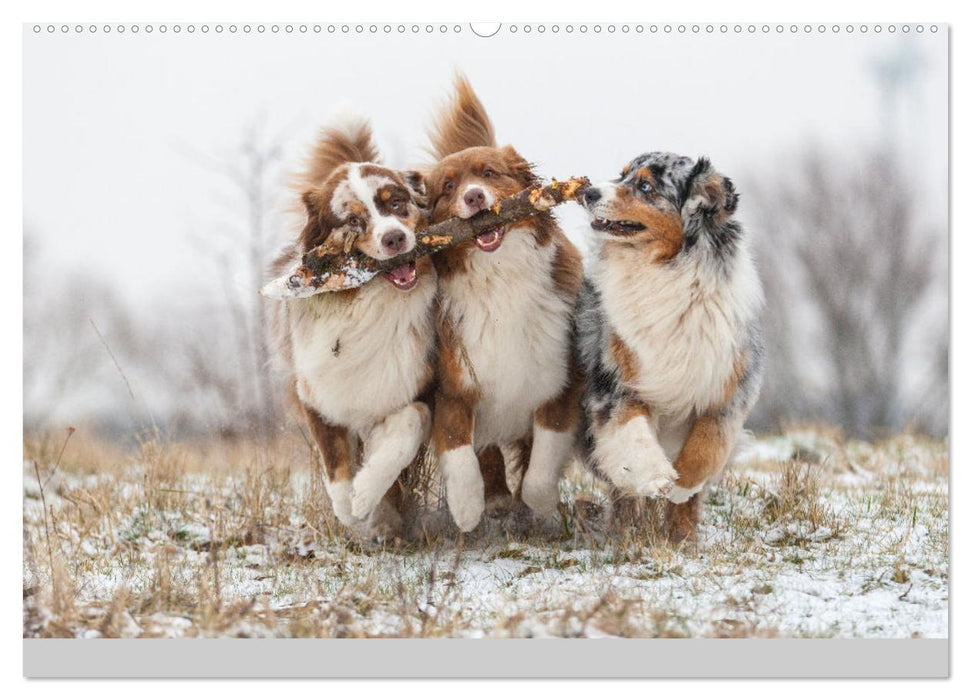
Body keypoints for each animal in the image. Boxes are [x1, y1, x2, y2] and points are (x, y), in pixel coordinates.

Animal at [274, 117, 440, 540]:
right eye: (351, 221)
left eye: (395, 202)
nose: (394, 237)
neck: (370, 302)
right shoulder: (316, 390)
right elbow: (334, 459)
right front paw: (350, 509)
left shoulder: (418, 384)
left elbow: (406, 429)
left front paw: (367, 497)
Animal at [424, 76, 584, 532]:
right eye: (448, 188)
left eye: (489, 173)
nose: (475, 198)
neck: (499, 278)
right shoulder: (455, 385)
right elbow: (460, 452)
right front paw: (467, 508)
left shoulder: (557, 384)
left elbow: (540, 470)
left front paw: (541, 511)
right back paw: (494, 500)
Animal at [576, 152, 768, 540]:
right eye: (621, 175)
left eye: (646, 186)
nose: (588, 192)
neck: (664, 269)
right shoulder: (617, 382)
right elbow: (632, 432)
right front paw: (657, 477)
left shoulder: (726, 388)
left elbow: (708, 447)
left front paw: (681, 488)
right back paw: (625, 529)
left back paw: (682, 536)